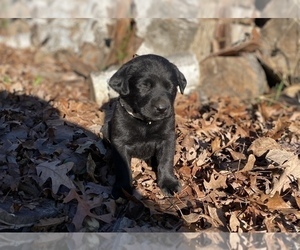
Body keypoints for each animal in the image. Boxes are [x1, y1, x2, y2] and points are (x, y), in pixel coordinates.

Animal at [104, 53, 186, 198]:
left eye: (170, 86)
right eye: (144, 85)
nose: (162, 108)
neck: (145, 122)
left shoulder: (168, 138)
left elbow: (166, 160)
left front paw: (169, 183)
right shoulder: (120, 142)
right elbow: (122, 166)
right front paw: (122, 188)